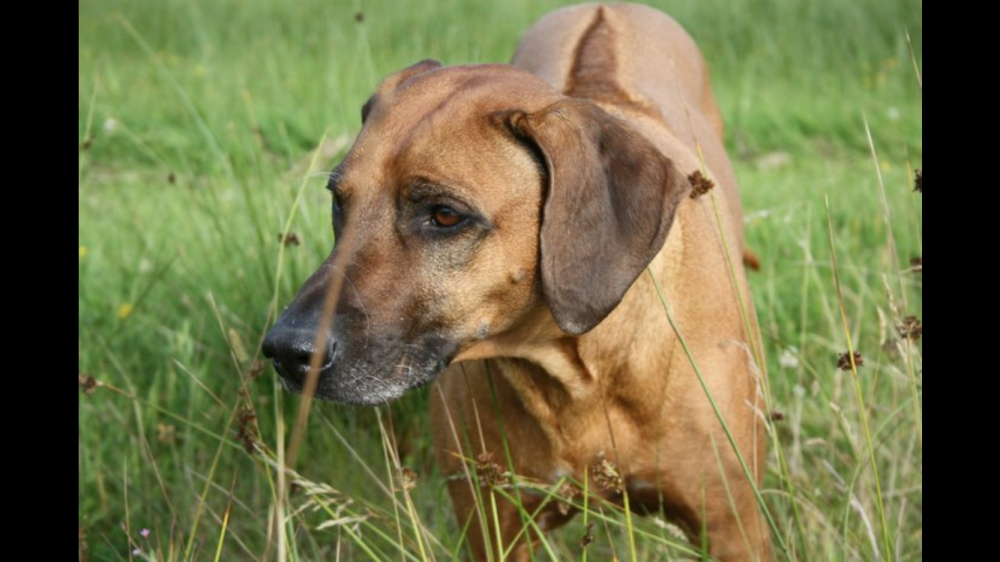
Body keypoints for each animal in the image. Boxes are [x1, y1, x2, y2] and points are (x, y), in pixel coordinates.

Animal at [263, 3, 770, 560]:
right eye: (339, 202)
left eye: (445, 215)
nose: (286, 350)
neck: (579, 367)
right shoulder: (492, 527)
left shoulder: (734, 527)